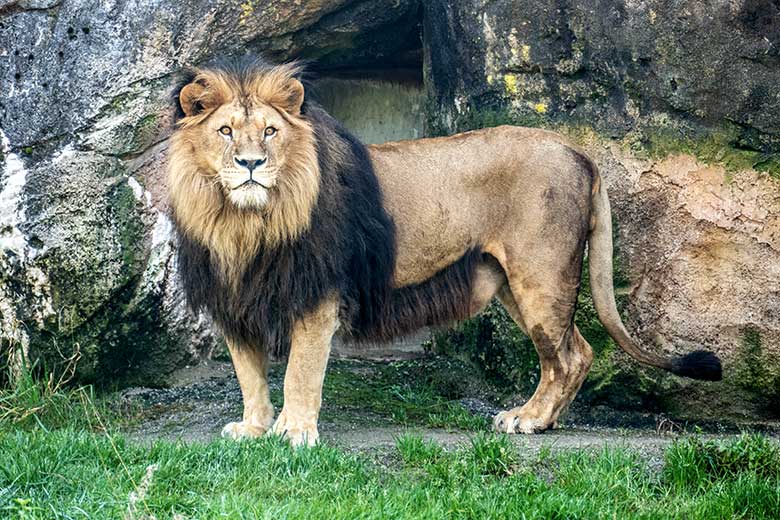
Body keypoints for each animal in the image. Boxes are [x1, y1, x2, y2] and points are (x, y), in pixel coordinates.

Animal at [168, 58, 724, 446]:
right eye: (225, 131)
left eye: (270, 131)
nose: (251, 164)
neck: (245, 225)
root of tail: (578, 150)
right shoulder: (233, 299)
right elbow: (250, 374)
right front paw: (253, 429)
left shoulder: (318, 295)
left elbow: (301, 371)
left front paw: (295, 432)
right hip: (513, 283)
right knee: (578, 351)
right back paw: (542, 420)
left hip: (540, 275)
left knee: (565, 358)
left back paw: (528, 420)